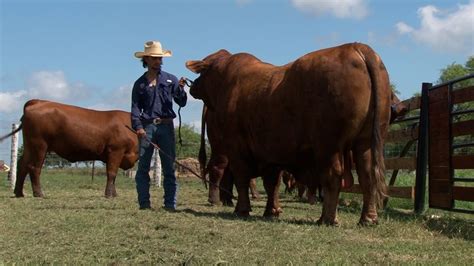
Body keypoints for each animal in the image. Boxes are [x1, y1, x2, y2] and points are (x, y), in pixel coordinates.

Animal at [0, 99, 138, 197]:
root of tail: (38, 102)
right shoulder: (115, 151)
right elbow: (112, 173)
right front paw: (109, 194)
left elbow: (113, 175)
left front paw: (114, 193)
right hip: (39, 145)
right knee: (34, 167)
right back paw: (39, 194)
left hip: (30, 146)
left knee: (22, 165)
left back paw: (19, 193)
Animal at [187, 43, 390, 224]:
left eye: (200, 73)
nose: (192, 85)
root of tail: (357, 47)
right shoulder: (270, 153)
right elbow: (272, 183)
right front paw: (272, 211)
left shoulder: (236, 147)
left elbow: (242, 178)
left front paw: (242, 209)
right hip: (364, 142)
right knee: (367, 176)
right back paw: (368, 218)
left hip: (328, 145)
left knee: (333, 176)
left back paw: (327, 219)